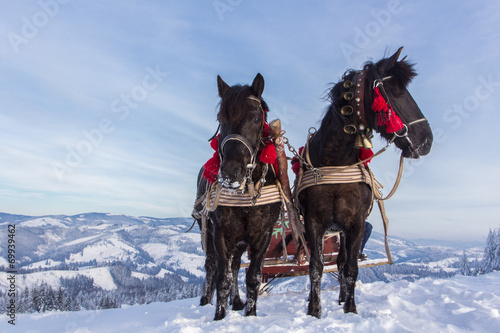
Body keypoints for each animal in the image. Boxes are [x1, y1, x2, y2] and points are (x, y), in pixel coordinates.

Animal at [194, 73, 284, 320]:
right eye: (220, 118)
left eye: (256, 119)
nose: (231, 172)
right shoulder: (220, 233)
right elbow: (222, 278)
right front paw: (219, 316)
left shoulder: (262, 234)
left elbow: (252, 276)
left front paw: (250, 312)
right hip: (209, 231)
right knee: (211, 265)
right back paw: (206, 299)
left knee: (235, 266)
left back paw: (235, 301)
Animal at [296, 47, 434, 316]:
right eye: (397, 90)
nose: (427, 140)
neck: (336, 163)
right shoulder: (314, 222)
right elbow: (315, 267)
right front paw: (314, 310)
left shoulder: (355, 224)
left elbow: (350, 268)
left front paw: (350, 309)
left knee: (341, 263)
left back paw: (342, 298)